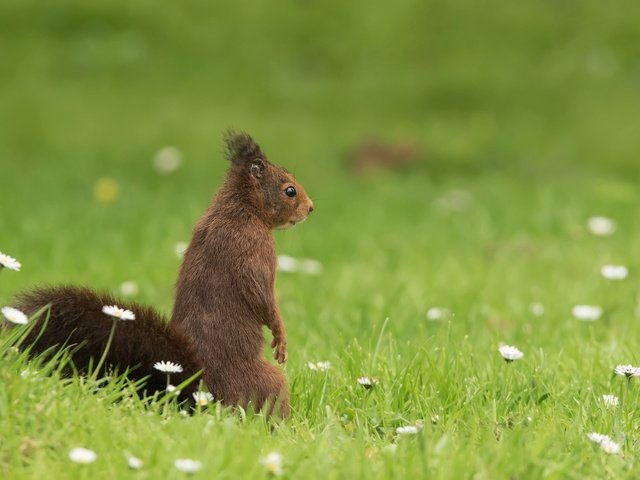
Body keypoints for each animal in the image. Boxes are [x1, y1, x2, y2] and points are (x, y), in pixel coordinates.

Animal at [13, 132, 314, 416]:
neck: (241, 208)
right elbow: (262, 295)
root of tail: (199, 388)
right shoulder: (256, 250)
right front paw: (281, 337)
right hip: (268, 381)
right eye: (289, 190)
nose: (311, 208)